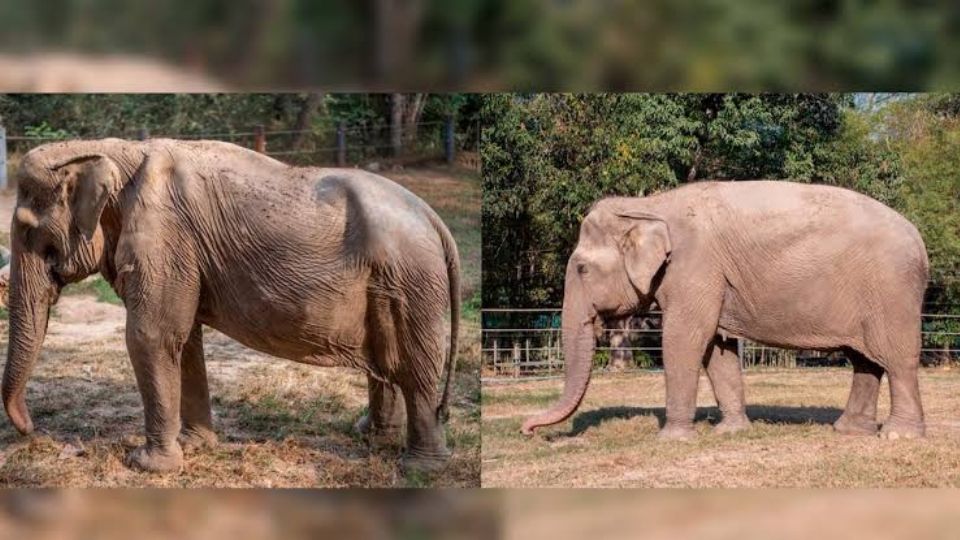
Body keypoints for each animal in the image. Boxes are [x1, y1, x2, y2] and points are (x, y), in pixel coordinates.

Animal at [3, 138, 462, 472]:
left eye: (28, 232)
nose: (32, 430)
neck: (114, 151)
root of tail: (437, 221)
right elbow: (184, 340)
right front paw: (195, 445)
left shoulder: (164, 237)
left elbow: (151, 336)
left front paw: (148, 466)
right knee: (388, 360)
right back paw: (369, 435)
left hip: (412, 282)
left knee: (416, 368)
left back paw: (421, 468)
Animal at [520, 179, 928, 440]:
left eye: (582, 269)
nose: (527, 430)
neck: (650, 205)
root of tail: (921, 243)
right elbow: (717, 347)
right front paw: (729, 431)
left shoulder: (695, 266)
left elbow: (685, 337)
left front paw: (673, 439)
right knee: (865, 359)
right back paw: (850, 431)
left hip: (892, 290)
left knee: (896, 357)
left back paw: (898, 436)